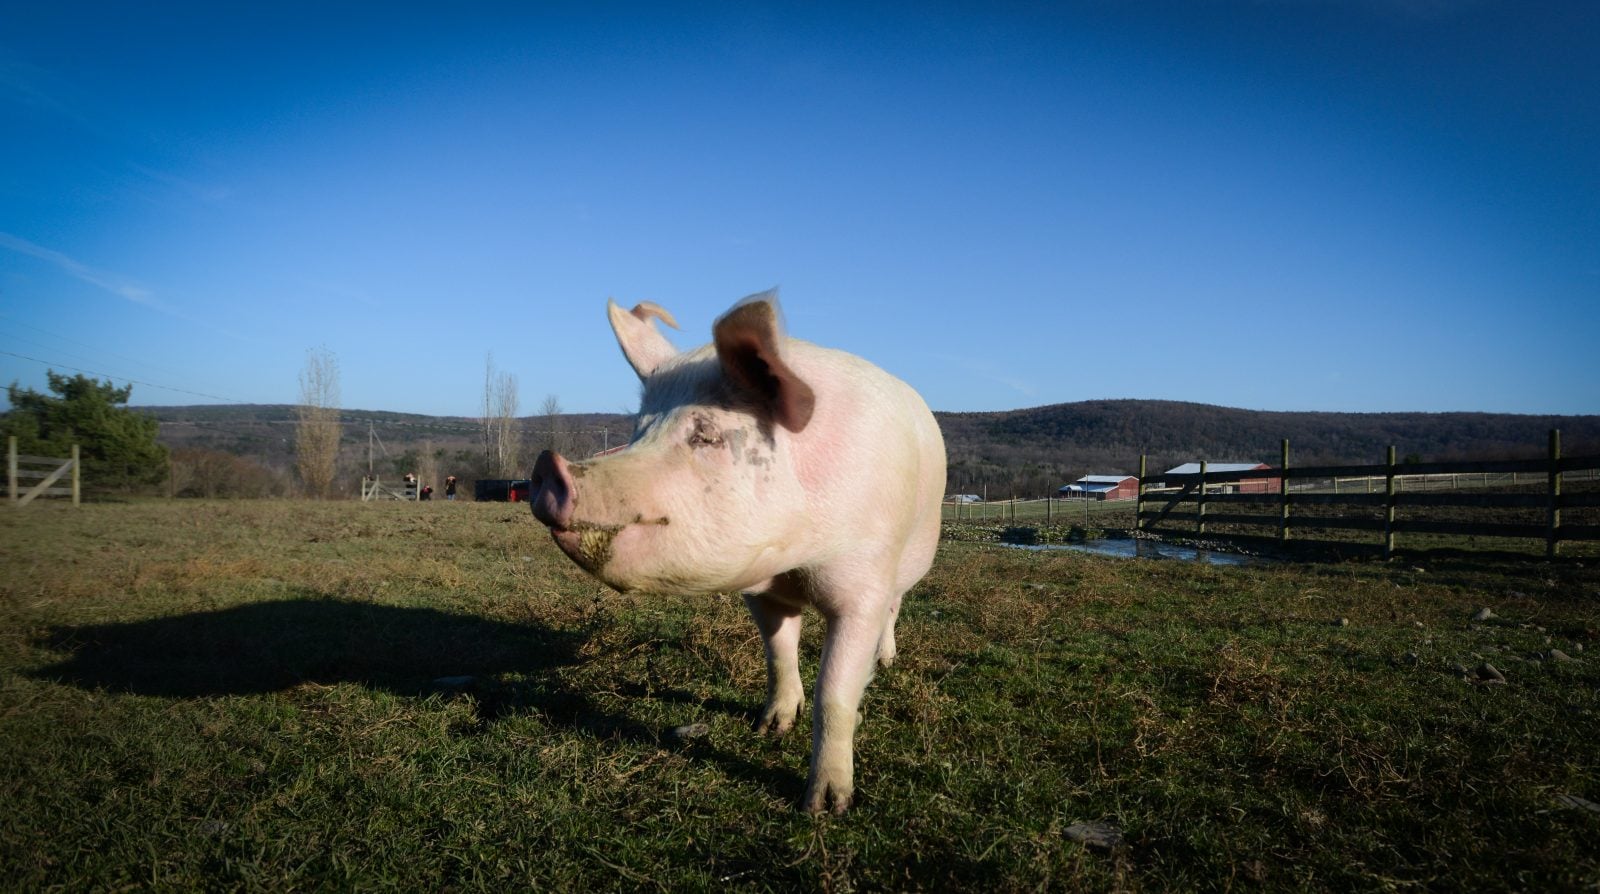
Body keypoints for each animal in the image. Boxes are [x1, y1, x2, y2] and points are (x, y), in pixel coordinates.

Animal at [529, 290, 946, 813]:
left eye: (705, 433)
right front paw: (770, 728)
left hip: (910, 558)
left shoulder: (862, 586)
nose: (549, 467)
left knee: (896, 605)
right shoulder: (763, 591)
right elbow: (779, 653)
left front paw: (825, 807)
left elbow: (835, 691)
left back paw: (886, 660)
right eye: (639, 431)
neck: (794, 561)